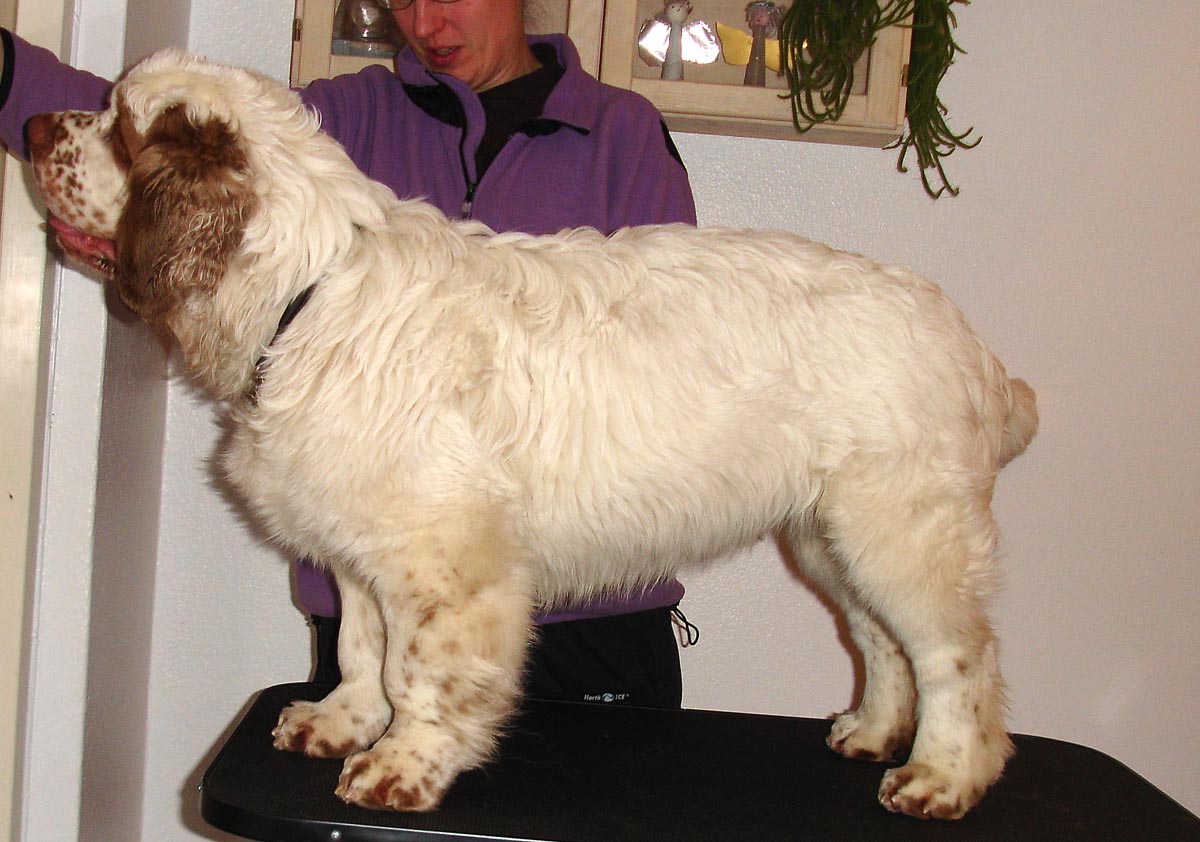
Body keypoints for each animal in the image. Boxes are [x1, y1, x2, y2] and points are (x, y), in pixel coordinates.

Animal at [28, 49, 1037, 820]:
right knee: (881, 641)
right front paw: (340, 722)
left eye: (118, 128)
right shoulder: (359, 545)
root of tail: (977, 351)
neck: (309, 291)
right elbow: (359, 647)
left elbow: (420, 671)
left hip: (901, 529)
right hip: (830, 539)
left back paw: (944, 776)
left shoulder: (449, 562)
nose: (33, 128)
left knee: (958, 657)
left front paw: (403, 764)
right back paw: (871, 734)